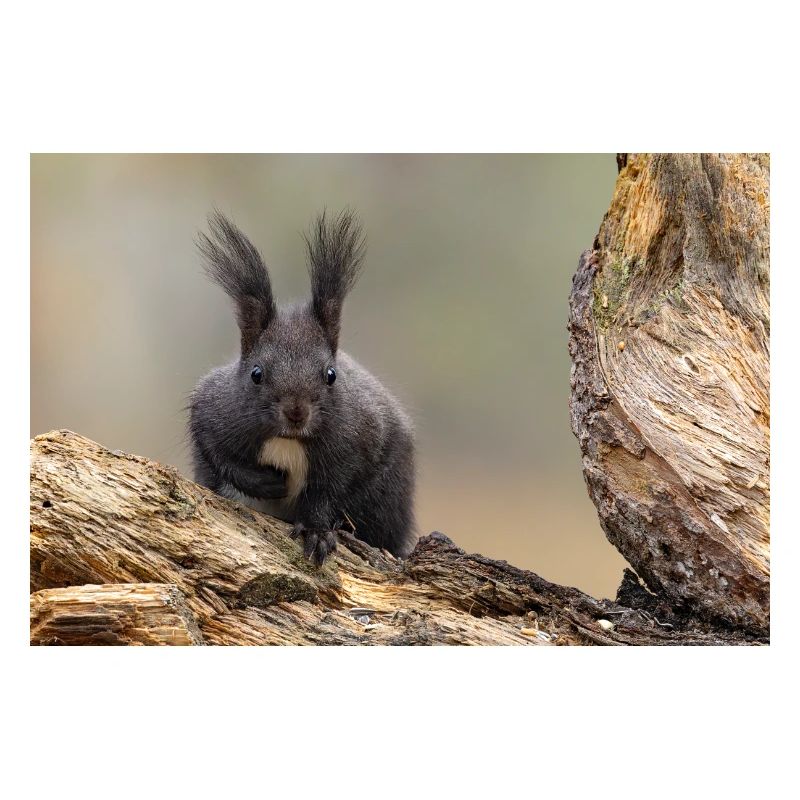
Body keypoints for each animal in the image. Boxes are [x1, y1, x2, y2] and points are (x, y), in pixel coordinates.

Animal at [188, 209, 416, 565]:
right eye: (256, 373)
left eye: (331, 375)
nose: (296, 413)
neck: (288, 439)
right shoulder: (212, 410)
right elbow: (215, 452)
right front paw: (267, 484)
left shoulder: (359, 439)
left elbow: (328, 490)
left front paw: (317, 532)